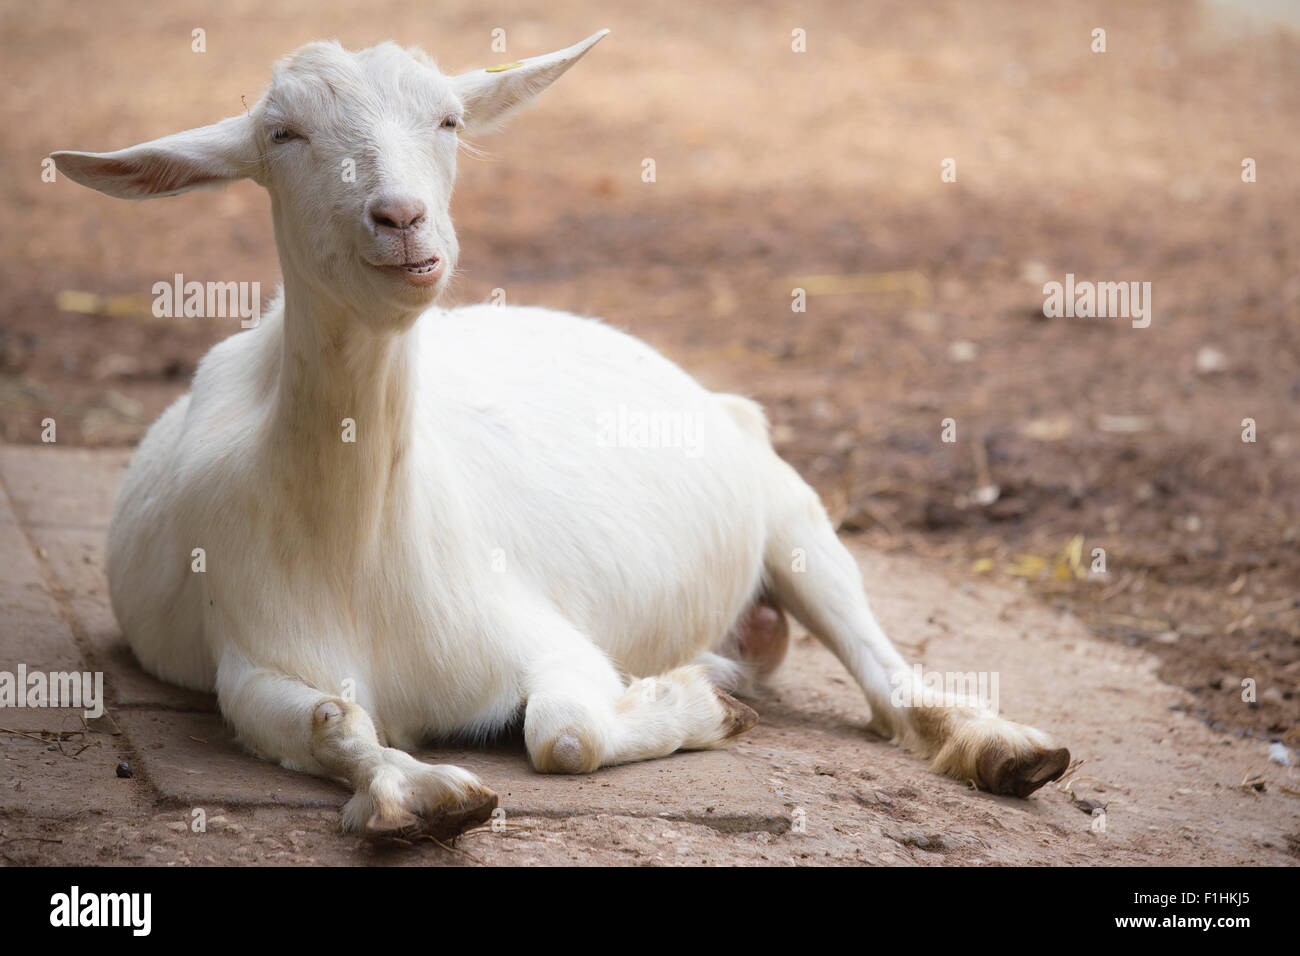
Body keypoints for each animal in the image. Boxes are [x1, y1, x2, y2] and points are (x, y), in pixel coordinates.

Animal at [53, 29, 1066, 837]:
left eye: (449, 121)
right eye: (282, 135)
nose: (402, 221)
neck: (362, 545)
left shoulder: (542, 635)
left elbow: (563, 735)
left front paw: (698, 712)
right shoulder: (252, 656)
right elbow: (330, 725)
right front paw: (418, 796)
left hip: (787, 507)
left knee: (884, 669)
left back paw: (1005, 749)